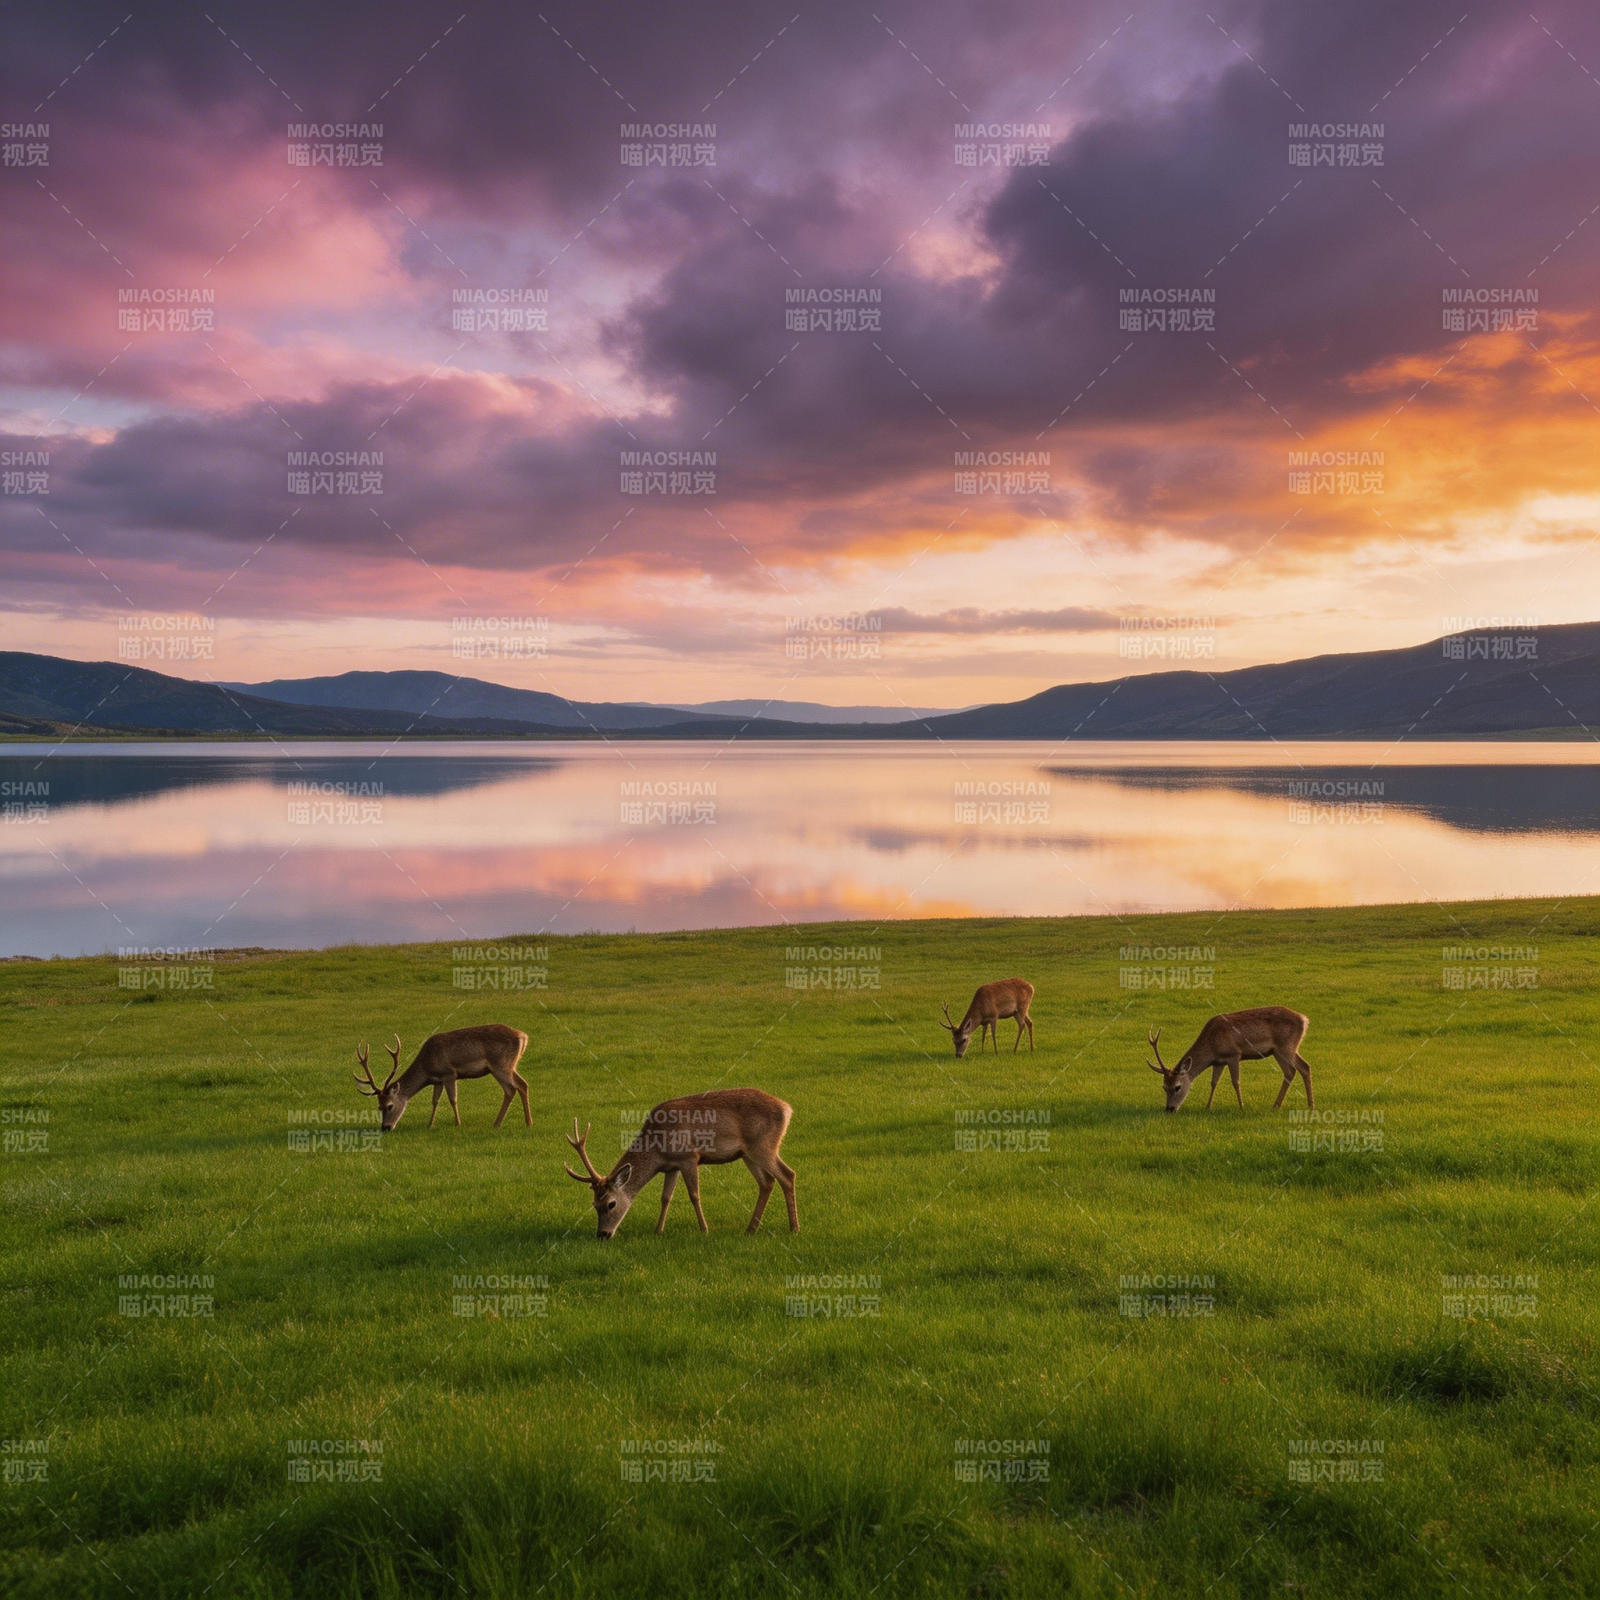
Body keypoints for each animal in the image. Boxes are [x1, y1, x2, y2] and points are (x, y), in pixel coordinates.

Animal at [354, 1024, 531, 1132]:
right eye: (379, 1106)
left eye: (390, 1105)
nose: (385, 1128)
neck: (426, 1066)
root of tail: (524, 1037)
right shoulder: (437, 1080)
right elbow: (435, 1101)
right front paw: (430, 1124)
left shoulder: (449, 1073)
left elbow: (453, 1099)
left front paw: (458, 1123)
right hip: (511, 1065)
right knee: (523, 1084)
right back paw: (528, 1122)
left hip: (500, 1065)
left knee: (511, 1089)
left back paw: (497, 1123)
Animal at [563, 1088, 798, 1240]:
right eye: (594, 1204)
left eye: (611, 1204)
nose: (602, 1234)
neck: (657, 1147)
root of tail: (787, 1109)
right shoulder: (671, 1166)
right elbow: (665, 1197)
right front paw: (658, 1231)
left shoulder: (689, 1157)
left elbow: (694, 1195)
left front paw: (704, 1229)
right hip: (748, 1153)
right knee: (767, 1182)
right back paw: (751, 1229)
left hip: (763, 1145)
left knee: (787, 1174)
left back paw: (794, 1228)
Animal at [1146, 1007, 1313, 1113]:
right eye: (1164, 1087)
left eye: (1177, 1087)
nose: (1169, 1109)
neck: (1212, 1046)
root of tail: (1304, 1020)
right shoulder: (1219, 1062)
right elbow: (1213, 1083)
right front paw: (1208, 1107)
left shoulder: (1234, 1054)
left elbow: (1236, 1082)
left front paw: (1241, 1106)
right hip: (1278, 1051)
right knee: (1291, 1071)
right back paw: (1276, 1105)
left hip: (1286, 1045)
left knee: (1303, 1067)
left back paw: (1310, 1105)